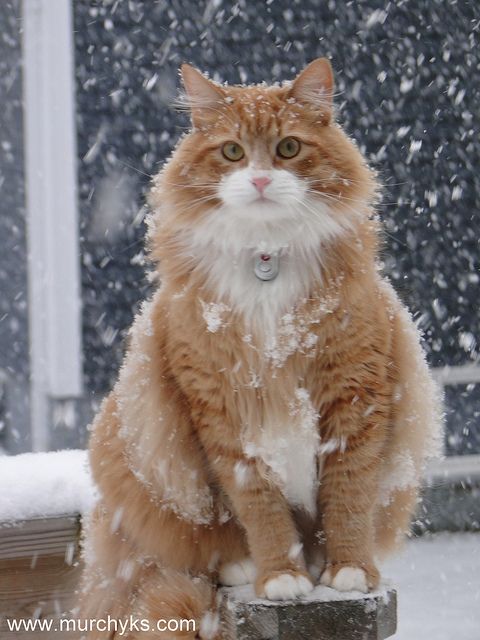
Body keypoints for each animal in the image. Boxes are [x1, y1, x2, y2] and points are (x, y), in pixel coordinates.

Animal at [79, 57, 442, 636]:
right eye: (232, 151)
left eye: (288, 147)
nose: (261, 178)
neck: (266, 261)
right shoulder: (222, 412)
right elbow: (260, 507)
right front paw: (280, 575)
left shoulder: (355, 394)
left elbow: (350, 495)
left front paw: (348, 569)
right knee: (206, 545)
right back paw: (240, 565)